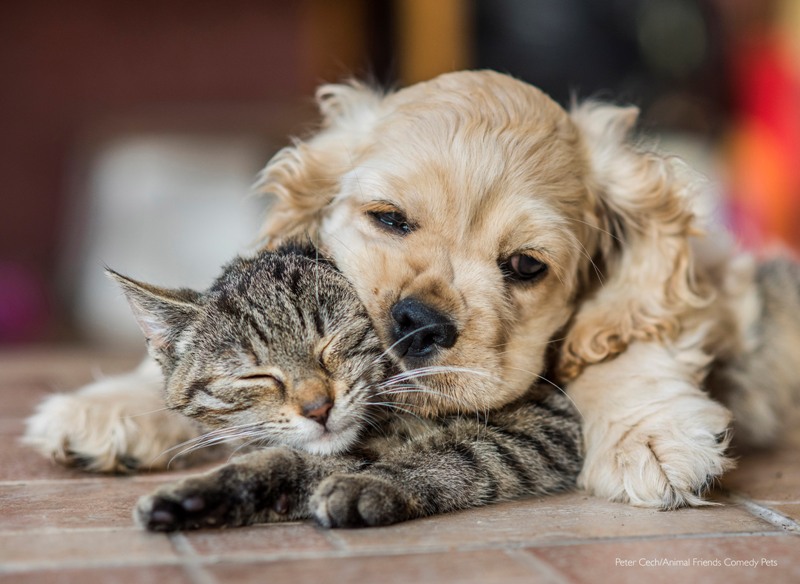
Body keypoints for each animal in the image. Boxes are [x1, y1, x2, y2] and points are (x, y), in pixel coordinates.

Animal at [111, 245, 580, 528]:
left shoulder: (548, 416)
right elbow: (290, 459)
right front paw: (204, 495)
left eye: (331, 344)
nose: (318, 407)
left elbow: (463, 450)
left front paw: (376, 484)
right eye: (255, 376)